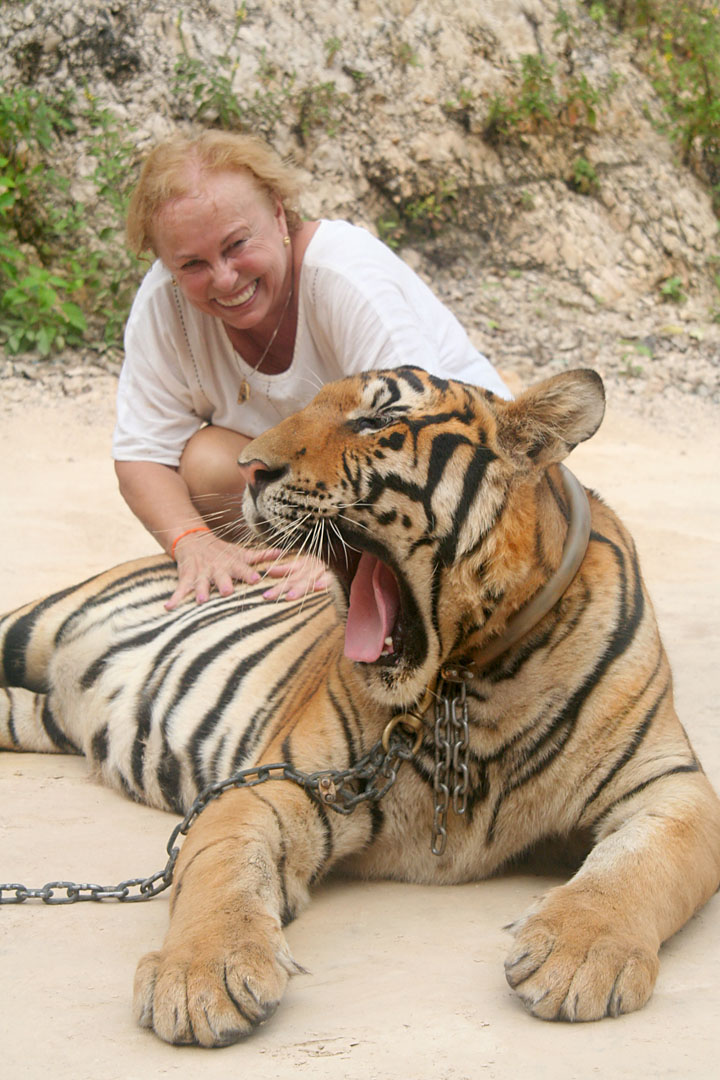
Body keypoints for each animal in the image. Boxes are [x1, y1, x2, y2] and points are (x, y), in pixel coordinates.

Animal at [2, 366, 719, 1048]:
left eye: (376, 420)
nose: (248, 469)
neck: (468, 684)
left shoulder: (670, 785)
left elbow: (639, 866)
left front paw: (580, 952)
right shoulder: (271, 786)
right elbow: (219, 869)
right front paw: (201, 974)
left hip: (35, 714)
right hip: (28, 626)